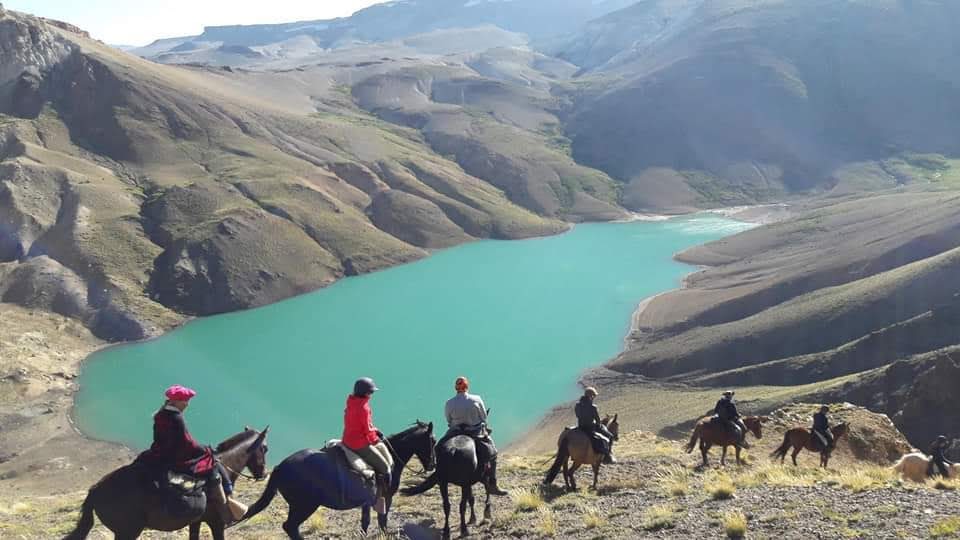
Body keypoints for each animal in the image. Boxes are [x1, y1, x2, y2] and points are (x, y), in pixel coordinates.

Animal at [62, 426, 270, 540]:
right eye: (265, 448)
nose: (263, 474)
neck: (225, 465)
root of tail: (95, 491)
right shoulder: (216, 523)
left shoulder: (197, 521)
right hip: (127, 532)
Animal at [240, 422, 436, 540]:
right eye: (432, 441)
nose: (432, 465)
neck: (390, 459)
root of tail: (280, 467)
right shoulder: (385, 497)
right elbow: (382, 519)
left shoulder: (367, 502)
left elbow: (367, 522)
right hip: (304, 506)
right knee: (290, 527)